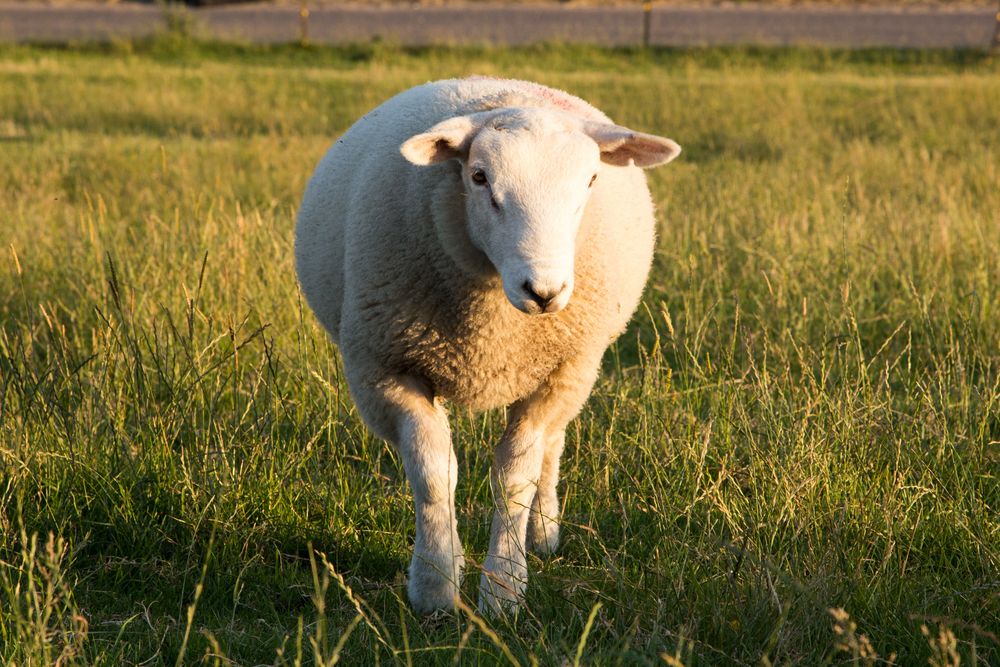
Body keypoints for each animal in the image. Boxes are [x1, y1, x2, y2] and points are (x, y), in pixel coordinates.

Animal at [292, 78, 680, 616]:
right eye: (478, 177)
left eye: (591, 180)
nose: (544, 291)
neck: (491, 333)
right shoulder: (386, 370)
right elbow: (434, 474)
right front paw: (436, 585)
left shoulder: (558, 373)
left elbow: (515, 478)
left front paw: (504, 589)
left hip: (573, 370)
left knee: (552, 446)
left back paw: (543, 533)